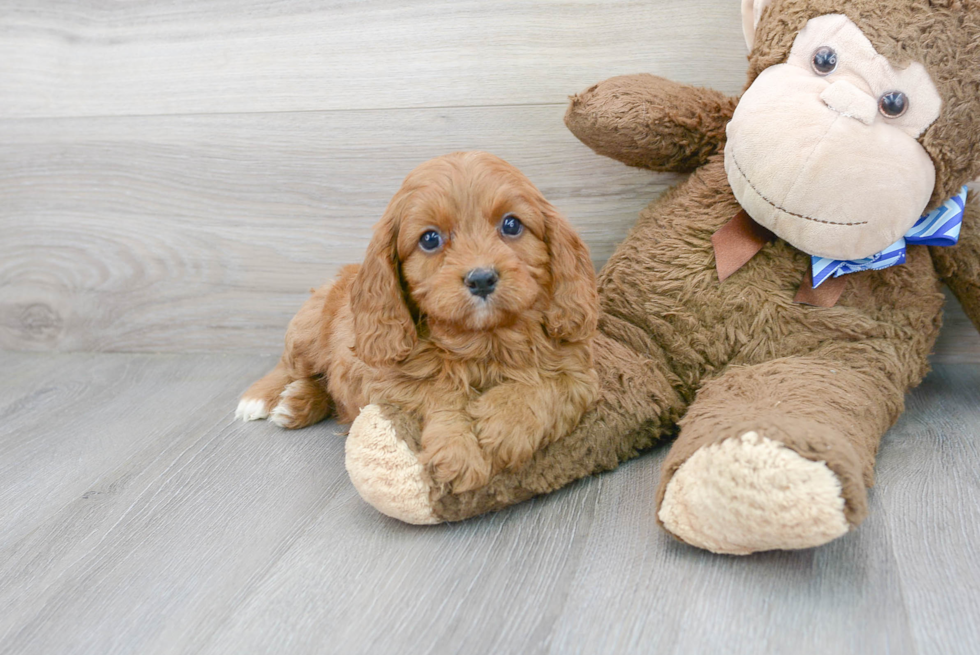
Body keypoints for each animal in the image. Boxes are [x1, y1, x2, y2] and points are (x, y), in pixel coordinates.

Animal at [237, 152, 596, 492]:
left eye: (511, 225)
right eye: (430, 239)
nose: (481, 279)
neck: (482, 339)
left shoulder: (581, 369)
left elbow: (548, 384)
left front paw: (506, 423)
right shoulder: (387, 380)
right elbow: (439, 393)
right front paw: (458, 450)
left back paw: (297, 401)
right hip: (307, 331)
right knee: (288, 366)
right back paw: (263, 398)